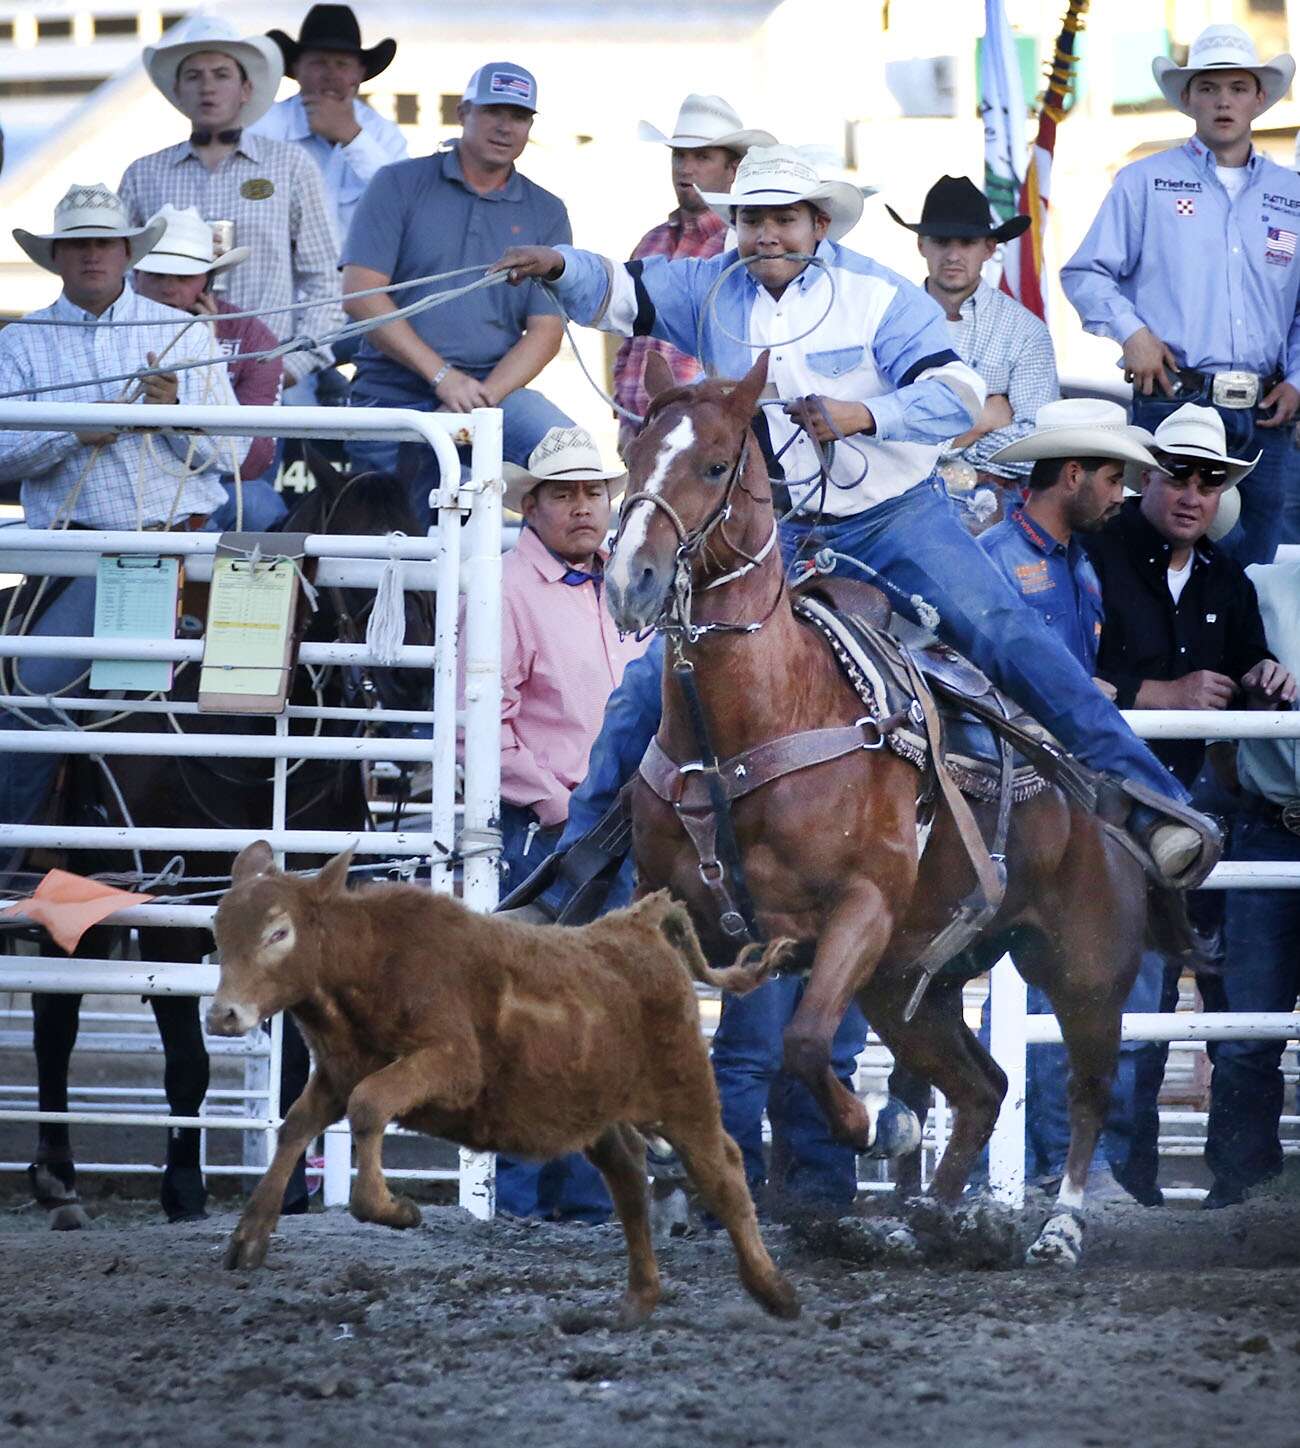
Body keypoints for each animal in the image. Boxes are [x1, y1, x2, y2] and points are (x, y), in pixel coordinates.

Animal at [207, 845, 793, 1326]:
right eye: (219, 930)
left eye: (278, 933)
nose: (223, 1015)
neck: (373, 962)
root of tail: (637, 924)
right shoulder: (336, 1074)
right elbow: (296, 1126)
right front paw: (249, 1237)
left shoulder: (452, 1065)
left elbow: (369, 1106)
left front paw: (394, 1210)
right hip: (595, 1108)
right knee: (628, 1175)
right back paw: (638, 1300)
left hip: (683, 1091)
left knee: (723, 1172)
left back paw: (773, 1290)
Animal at [613, 356, 1152, 1262]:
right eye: (632, 457)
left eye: (716, 465)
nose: (629, 581)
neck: (751, 725)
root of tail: (1095, 802)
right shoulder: (680, 915)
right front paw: (659, 1148)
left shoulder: (859, 909)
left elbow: (802, 1045)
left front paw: (875, 1127)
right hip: (911, 983)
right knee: (983, 1087)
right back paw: (928, 1217)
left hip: (1079, 970)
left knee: (1086, 1091)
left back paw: (1057, 1225)